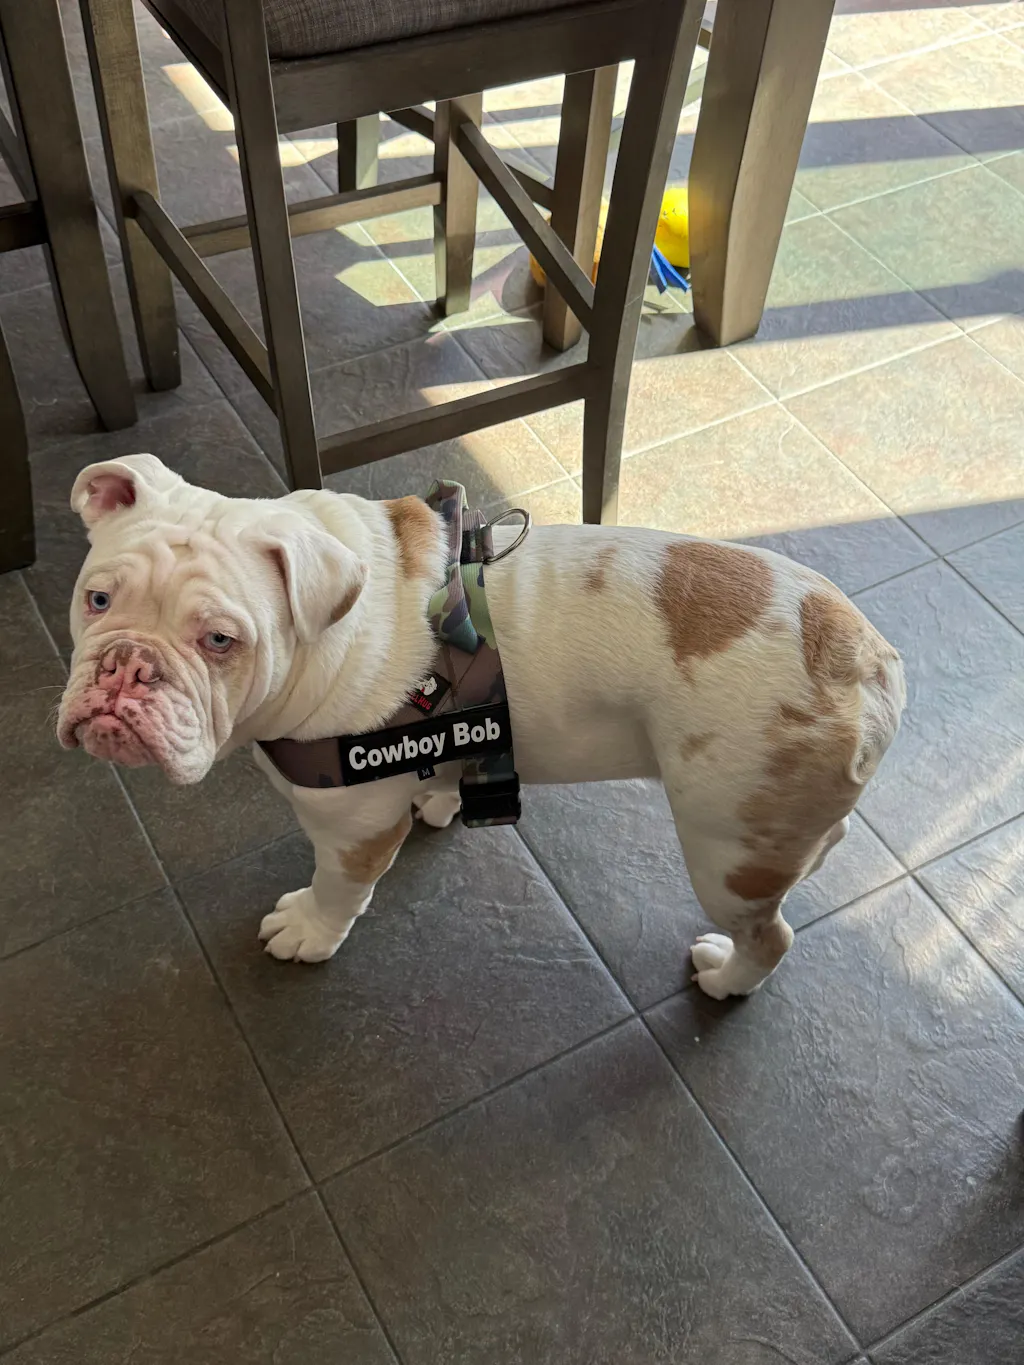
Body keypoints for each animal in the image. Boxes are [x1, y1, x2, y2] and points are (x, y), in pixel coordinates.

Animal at [57, 454, 904, 999]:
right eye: (97, 599)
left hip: (724, 850)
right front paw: (440, 799)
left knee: (771, 935)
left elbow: (337, 889)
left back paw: (727, 977)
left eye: (220, 640)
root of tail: (867, 662)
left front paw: (309, 930)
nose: (127, 665)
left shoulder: (351, 827)